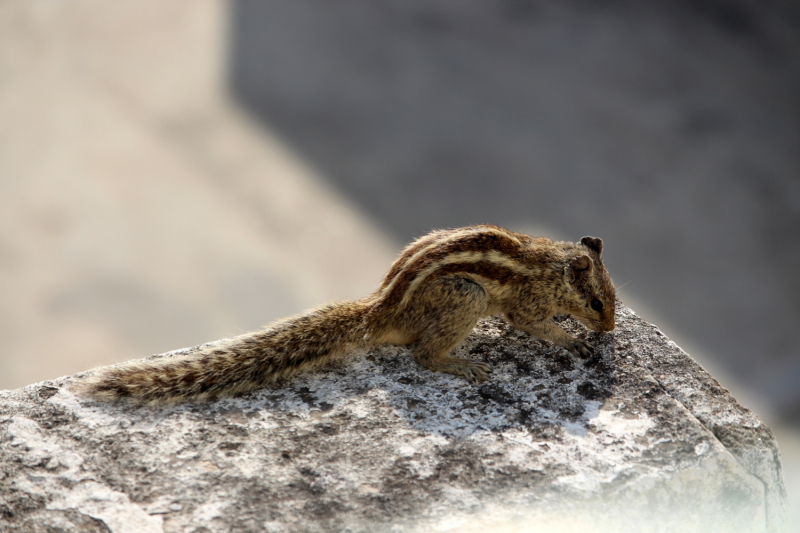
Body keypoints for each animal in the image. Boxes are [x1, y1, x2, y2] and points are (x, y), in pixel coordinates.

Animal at [76, 224, 612, 404]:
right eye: (597, 303)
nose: (609, 328)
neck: (554, 266)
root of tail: (381, 311)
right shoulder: (527, 303)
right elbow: (535, 325)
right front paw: (575, 340)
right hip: (467, 297)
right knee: (423, 354)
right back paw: (463, 364)